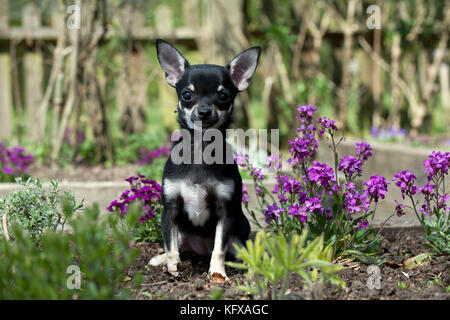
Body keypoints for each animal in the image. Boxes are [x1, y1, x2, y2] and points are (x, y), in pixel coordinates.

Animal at [149, 39, 260, 280]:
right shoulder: (170, 210)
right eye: (187, 95)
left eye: (223, 96)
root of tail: (200, 249)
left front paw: (218, 273)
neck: (200, 147)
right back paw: (160, 259)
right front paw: (173, 268)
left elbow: (219, 249)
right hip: (182, 232)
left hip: (239, 232)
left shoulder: (225, 212)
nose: (204, 111)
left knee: (231, 249)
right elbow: (170, 246)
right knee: (178, 245)